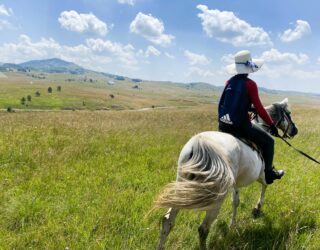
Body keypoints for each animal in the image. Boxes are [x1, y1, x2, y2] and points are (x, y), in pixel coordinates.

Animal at [155, 98, 298, 250]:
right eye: (289, 113)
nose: (295, 130)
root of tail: (200, 145)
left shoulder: (236, 183)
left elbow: (235, 201)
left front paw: (232, 225)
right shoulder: (261, 175)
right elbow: (265, 186)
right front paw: (256, 209)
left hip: (182, 185)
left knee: (167, 221)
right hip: (217, 196)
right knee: (203, 229)